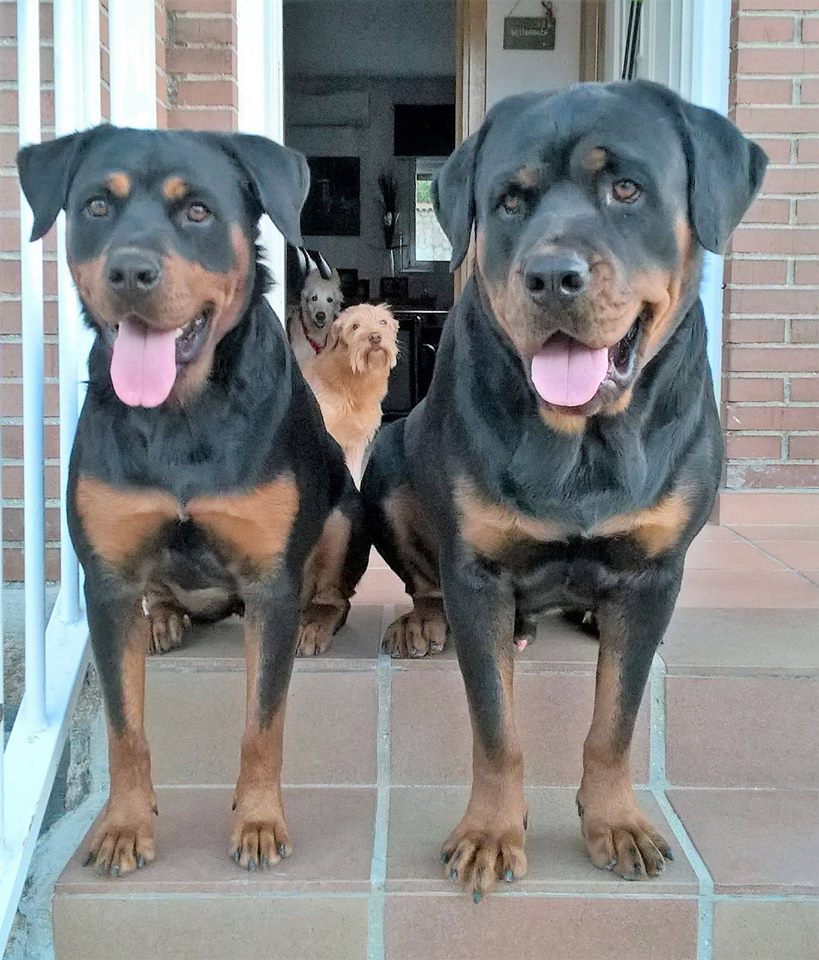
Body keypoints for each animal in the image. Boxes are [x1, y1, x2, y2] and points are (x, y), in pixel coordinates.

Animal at [16, 125, 368, 876]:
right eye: (96, 206)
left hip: (342, 513)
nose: (130, 273)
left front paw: (259, 821)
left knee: (332, 586)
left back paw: (318, 622)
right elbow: (125, 728)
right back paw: (166, 619)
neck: (181, 413)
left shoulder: (269, 583)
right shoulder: (107, 583)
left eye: (198, 211)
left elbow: (262, 723)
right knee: (165, 602)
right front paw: (123, 826)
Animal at [362, 82, 764, 900]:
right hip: (387, 458)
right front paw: (490, 831)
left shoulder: (653, 575)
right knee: (424, 576)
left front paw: (615, 821)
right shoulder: (478, 574)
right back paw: (422, 622)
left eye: (626, 189)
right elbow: (495, 726)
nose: (552, 275)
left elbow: (616, 718)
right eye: (510, 202)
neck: (582, 440)